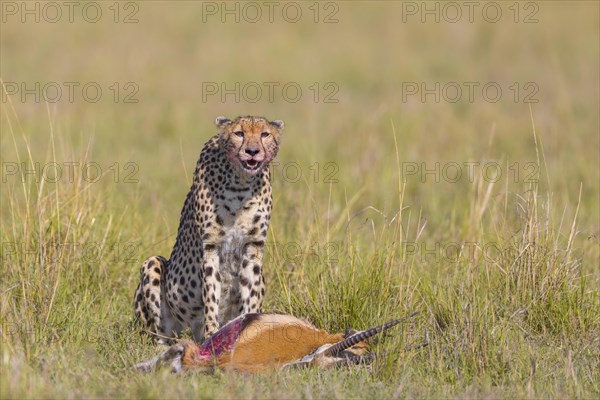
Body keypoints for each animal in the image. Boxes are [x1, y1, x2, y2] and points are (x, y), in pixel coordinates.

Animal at [135, 115, 284, 344]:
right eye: (239, 133)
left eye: (264, 134)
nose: (252, 151)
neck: (240, 183)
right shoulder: (210, 247)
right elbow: (211, 294)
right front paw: (212, 335)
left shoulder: (253, 246)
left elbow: (250, 293)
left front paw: (251, 329)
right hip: (153, 267)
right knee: (162, 334)